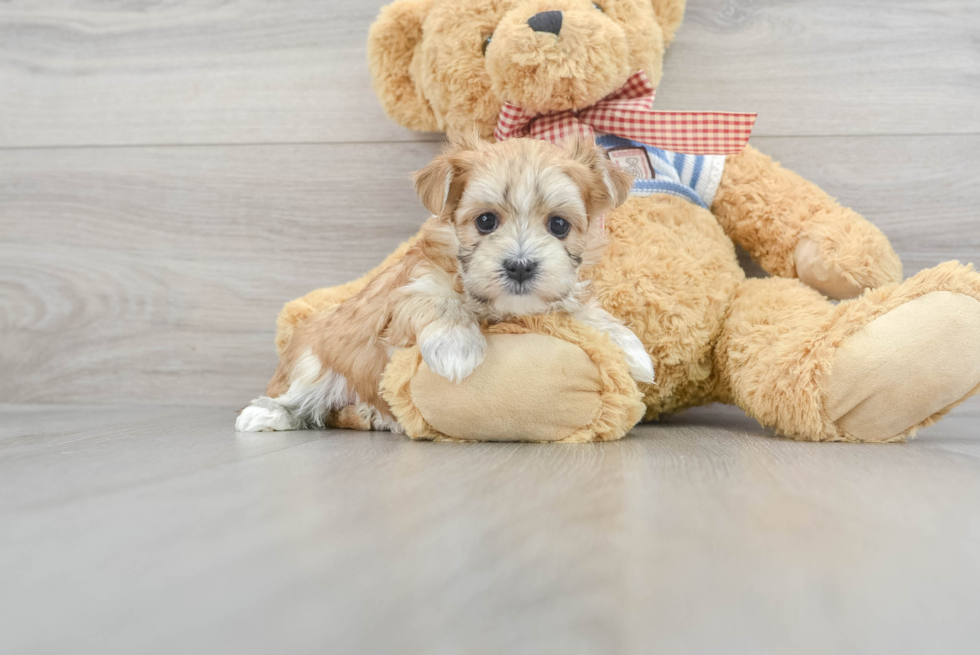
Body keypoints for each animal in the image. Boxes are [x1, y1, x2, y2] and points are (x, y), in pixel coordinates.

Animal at [235, 136, 660, 434]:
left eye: (559, 225)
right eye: (486, 221)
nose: (520, 266)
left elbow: (587, 311)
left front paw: (632, 350)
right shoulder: (408, 291)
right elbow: (439, 302)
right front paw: (457, 349)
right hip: (315, 364)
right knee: (299, 396)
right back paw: (265, 415)